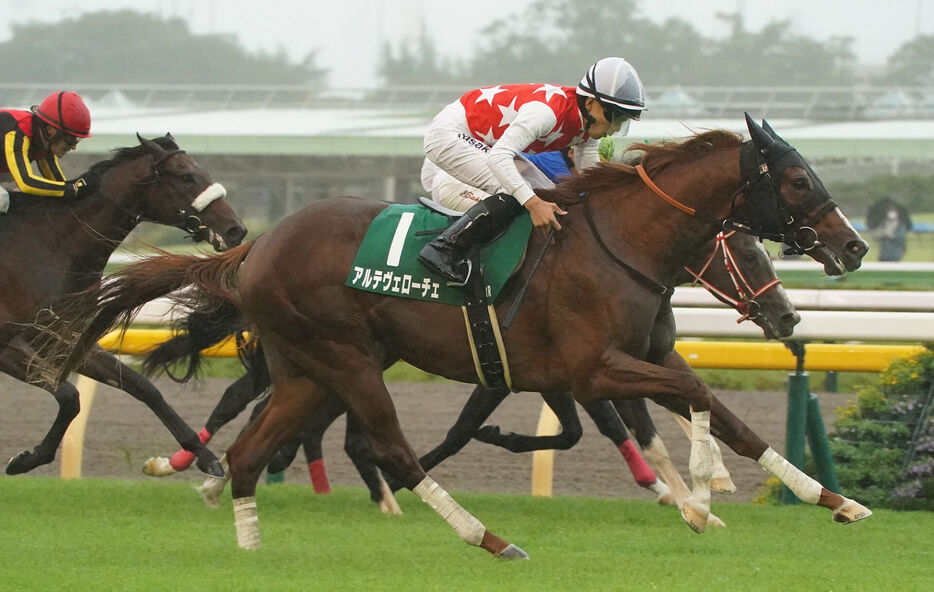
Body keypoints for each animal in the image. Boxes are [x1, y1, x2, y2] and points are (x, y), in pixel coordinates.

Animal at [0, 134, 247, 476]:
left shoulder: (64, 340)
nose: (236, 229)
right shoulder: (7, 346)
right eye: (186, 177)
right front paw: (26, 459)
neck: (47, 247)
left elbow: (142, 386)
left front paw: (204, 455)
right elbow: (70, 395)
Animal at [34, 118, 872, 556]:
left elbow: (727, 418)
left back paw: (243, 535)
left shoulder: (638, 357)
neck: (622, 243)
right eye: (797, 180)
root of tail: (258, 246)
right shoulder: (591, 369)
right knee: (390, 450)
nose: (854, 246)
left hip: (309, 367)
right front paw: (701, 492)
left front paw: (834, 499)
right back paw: (486, 537)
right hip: (346, 359)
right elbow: (693, 396)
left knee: (252, 449)